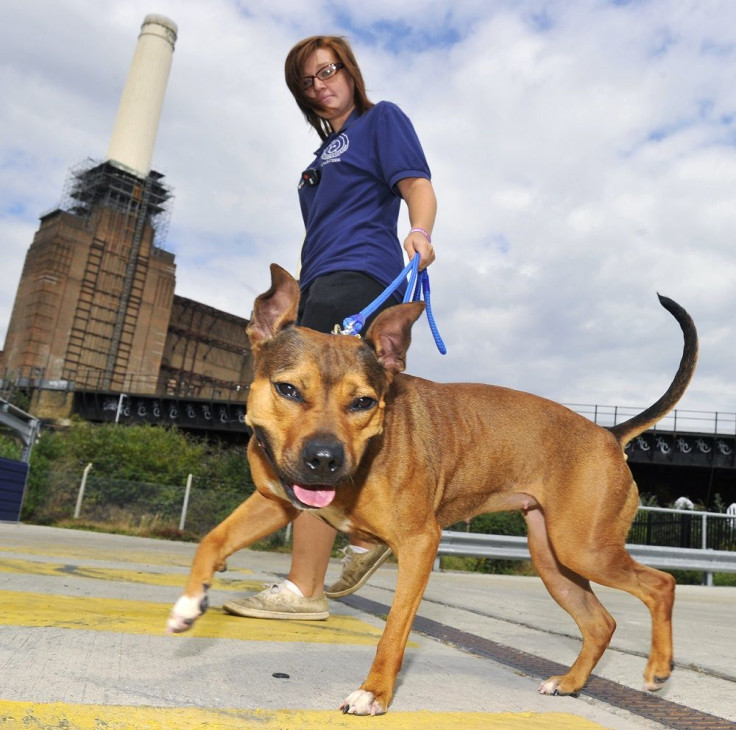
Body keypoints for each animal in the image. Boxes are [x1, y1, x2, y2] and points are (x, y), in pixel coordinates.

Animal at [170, 260, 700, 712]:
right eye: (287, 389)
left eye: (363, 402)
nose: (324, 459)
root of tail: (607, 433)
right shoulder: (275, 503)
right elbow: (212, 539)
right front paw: (189, 605)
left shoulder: (421, 543)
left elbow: (395, 629)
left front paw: (373, 693)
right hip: (555, 559)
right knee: (601, 622)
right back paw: (570, 683)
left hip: (583, 548)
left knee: (662, 584)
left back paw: (657, 668)